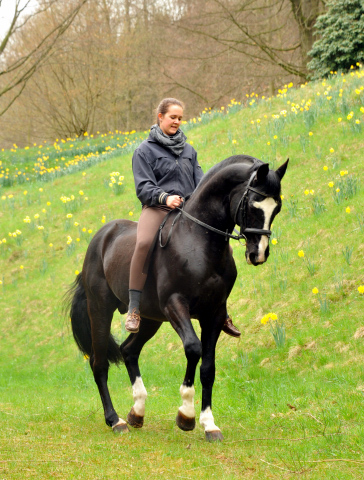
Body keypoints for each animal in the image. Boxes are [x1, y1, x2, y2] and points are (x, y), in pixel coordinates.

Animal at [65, 155, 288, 442]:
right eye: (252, 205)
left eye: (277, 207)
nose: (258, 254)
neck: (199, 241)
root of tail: (101, 238)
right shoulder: (175, 305)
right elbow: (193, 349)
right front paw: (186, 415)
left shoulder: (214, 314)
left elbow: (208, 367)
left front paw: (209, 424)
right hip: (100, 310)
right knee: (99, 363)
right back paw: (115, 420)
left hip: (150, 319)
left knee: (129, 350)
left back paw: (137, 412)